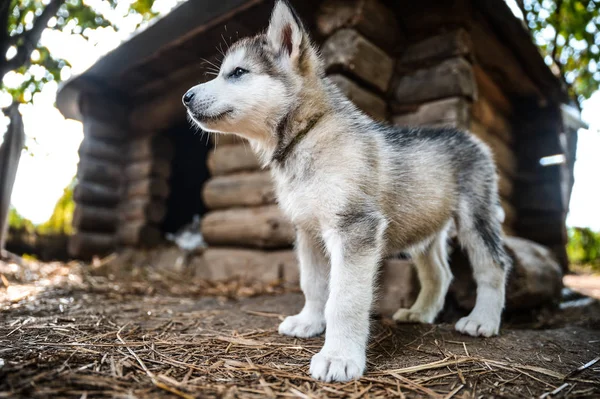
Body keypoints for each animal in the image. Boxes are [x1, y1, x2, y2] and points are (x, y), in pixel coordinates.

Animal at [183, 0, 510, 382]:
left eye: (237, 73)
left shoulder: (355, 228)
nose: (185, 97)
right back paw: (420, 313)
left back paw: (482, 320)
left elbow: (343, 299)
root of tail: (469, 136)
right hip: (424, 231)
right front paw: (309, 322)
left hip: (476, 218)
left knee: (493, 265)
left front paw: (338, 357)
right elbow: (313, 284)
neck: (307, 135)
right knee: (439, 274)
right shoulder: (307, 230)